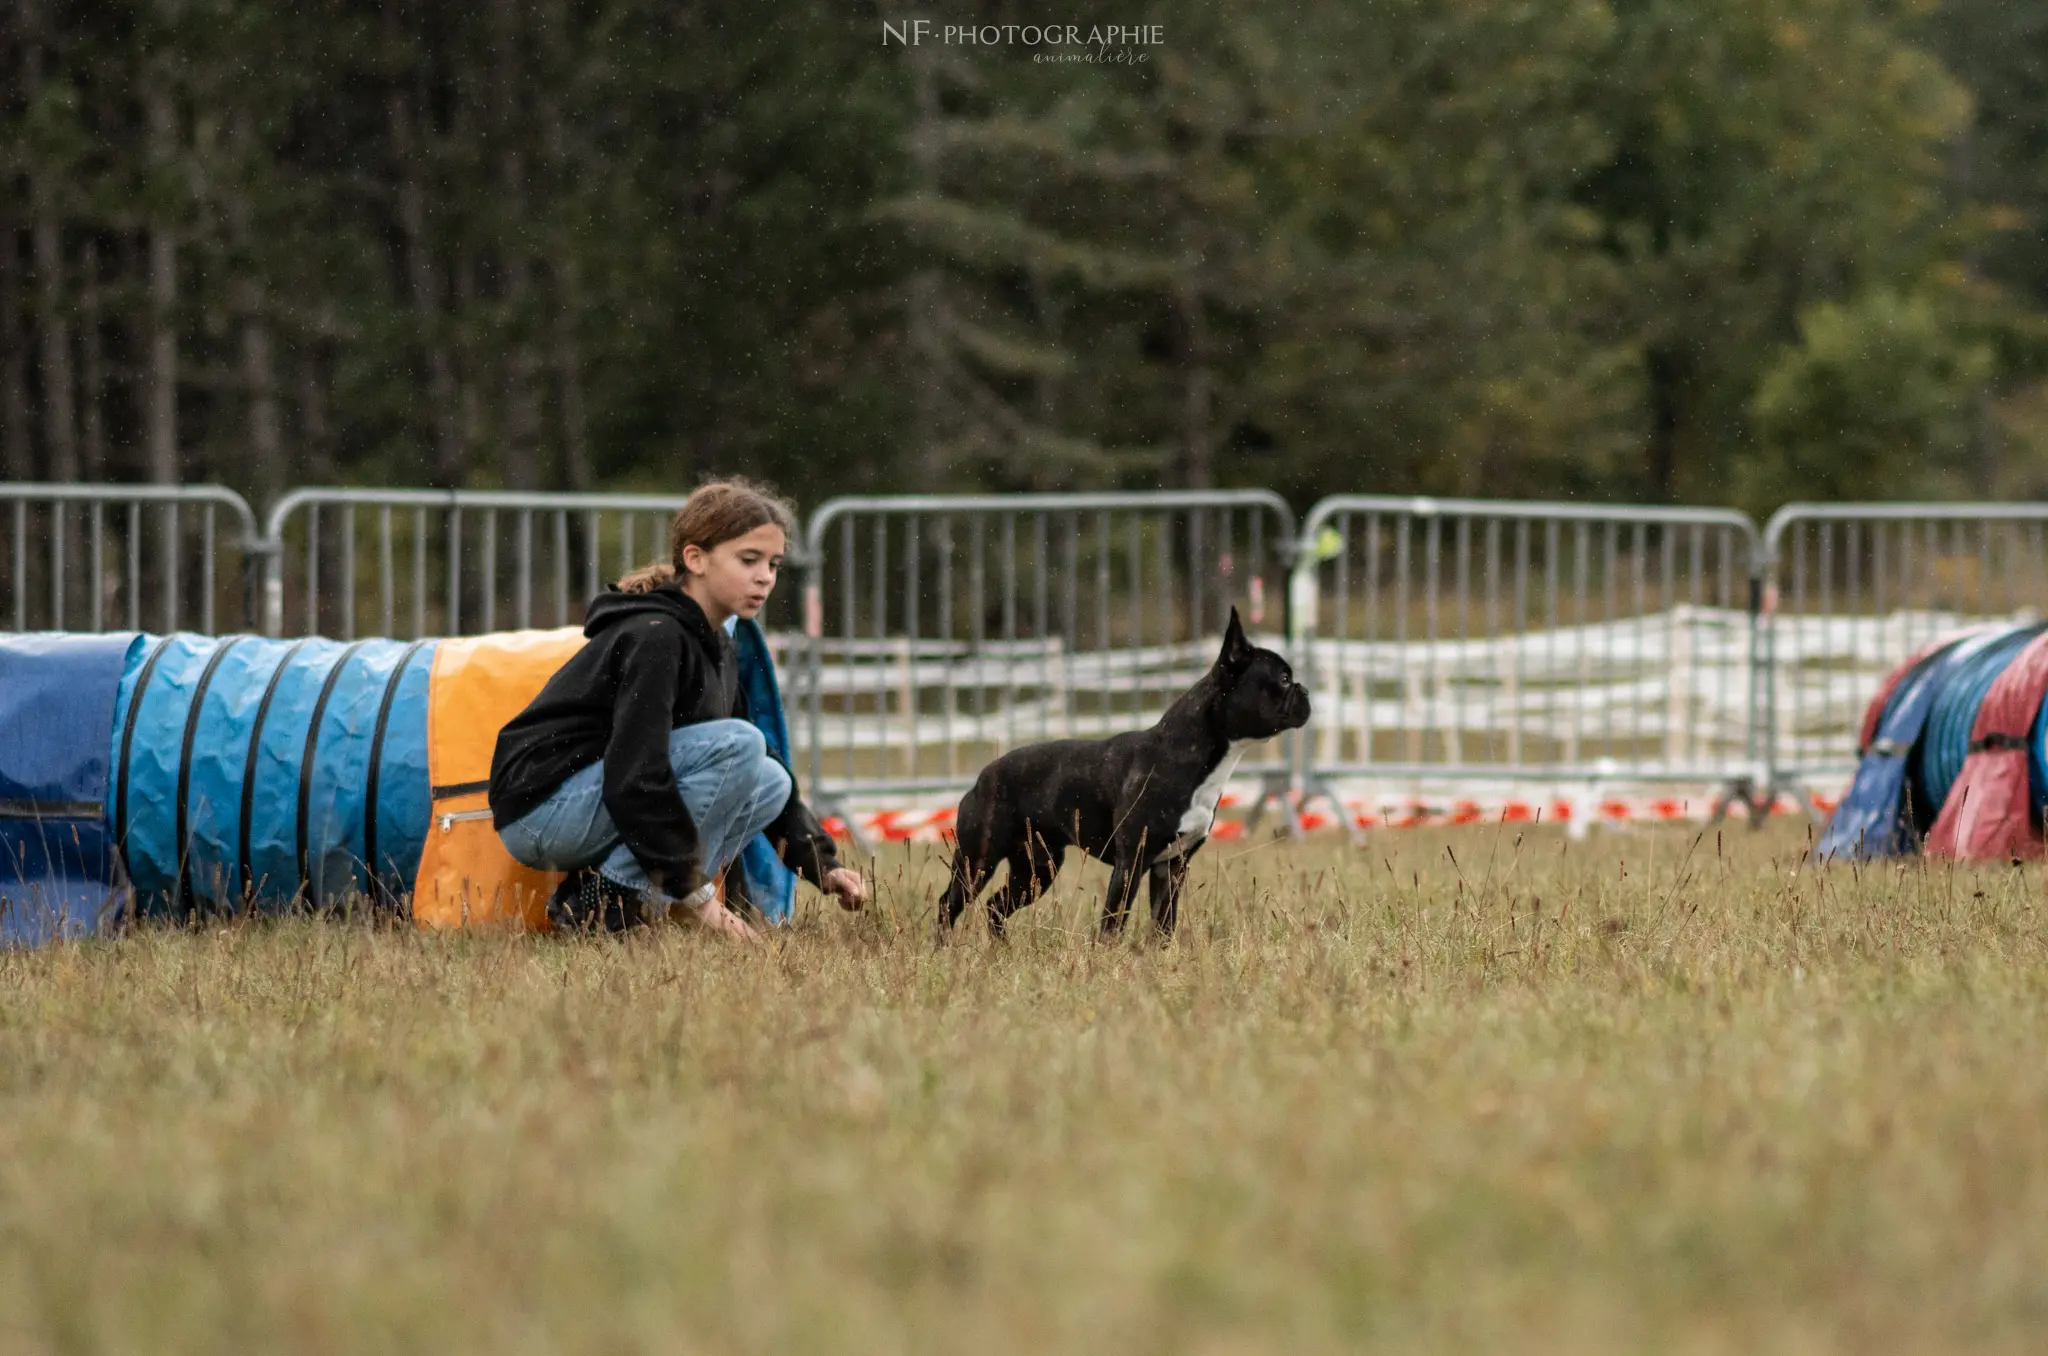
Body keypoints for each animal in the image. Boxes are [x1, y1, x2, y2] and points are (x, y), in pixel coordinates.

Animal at [937, 610, 1310, 942]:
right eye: (1283, 678)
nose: (1305, 690)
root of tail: (983, 776)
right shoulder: (1131, 861)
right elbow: (1113, 924)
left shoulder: (1171, 867)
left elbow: (1163, 925)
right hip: (978, 860)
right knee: (949, 904)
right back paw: (945, 951)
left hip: (1038, 868)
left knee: (996, 907)